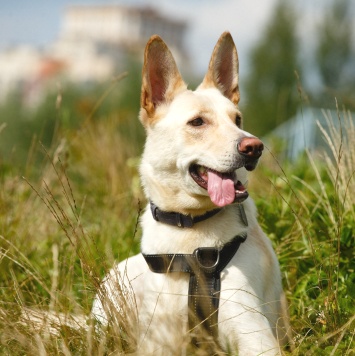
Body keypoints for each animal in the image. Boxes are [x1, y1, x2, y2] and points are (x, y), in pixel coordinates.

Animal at [93, 32, 294, 354]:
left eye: (238, 120)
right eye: (198, 122)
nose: (254, 147)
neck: (191, 229)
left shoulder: (256, 336)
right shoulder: (157, 341)